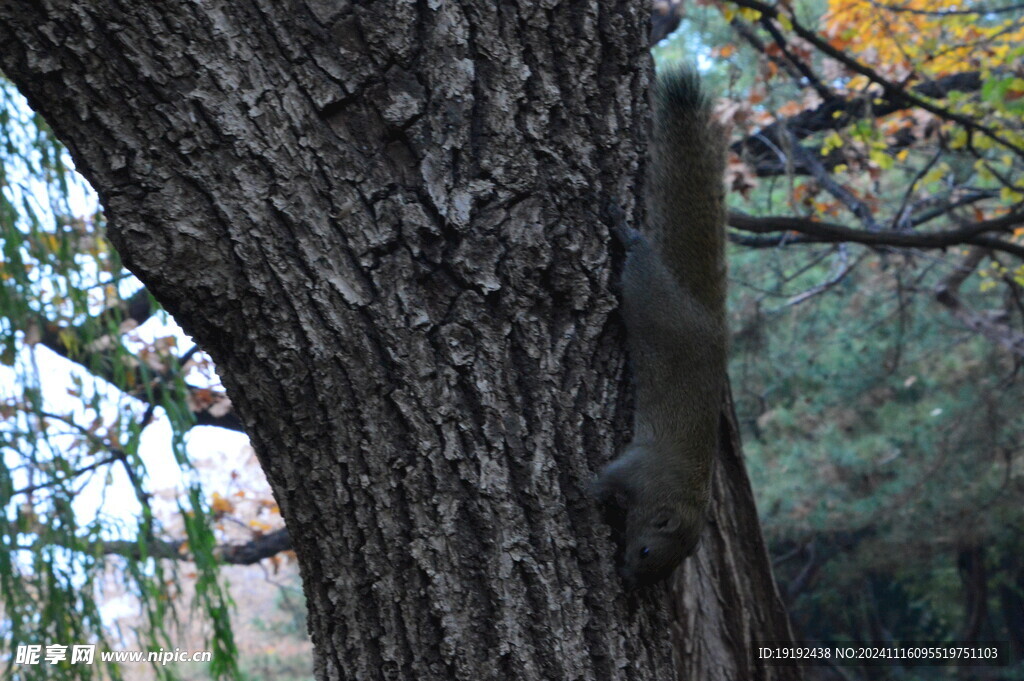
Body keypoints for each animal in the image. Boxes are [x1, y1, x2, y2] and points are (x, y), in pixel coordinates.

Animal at [593, 70, 729, 589]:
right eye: (648, 548)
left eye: (658, 564)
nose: (629, 580)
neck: (679, 493)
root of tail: (706, 318)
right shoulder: (641, 466)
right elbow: (608, 476)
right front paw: (586, 487)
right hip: (646, 291)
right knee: (639, 257)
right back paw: (623, 228)